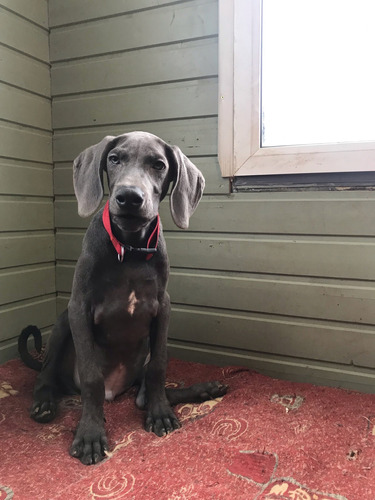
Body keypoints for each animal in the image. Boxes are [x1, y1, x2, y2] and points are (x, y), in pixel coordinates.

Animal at [19, 132, 228, 464]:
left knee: (143, 395)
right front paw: (90, 435)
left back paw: (202, 390)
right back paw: (45, 403)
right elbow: (91, 378)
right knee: (45, 375)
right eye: (114, 159)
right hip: (63, 324)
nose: (129, 197)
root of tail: (115, 392)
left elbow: (158, 368)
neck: (130, 249)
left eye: (159, 165)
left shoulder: (163, 308)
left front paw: (161, 413)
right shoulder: (79, 308)